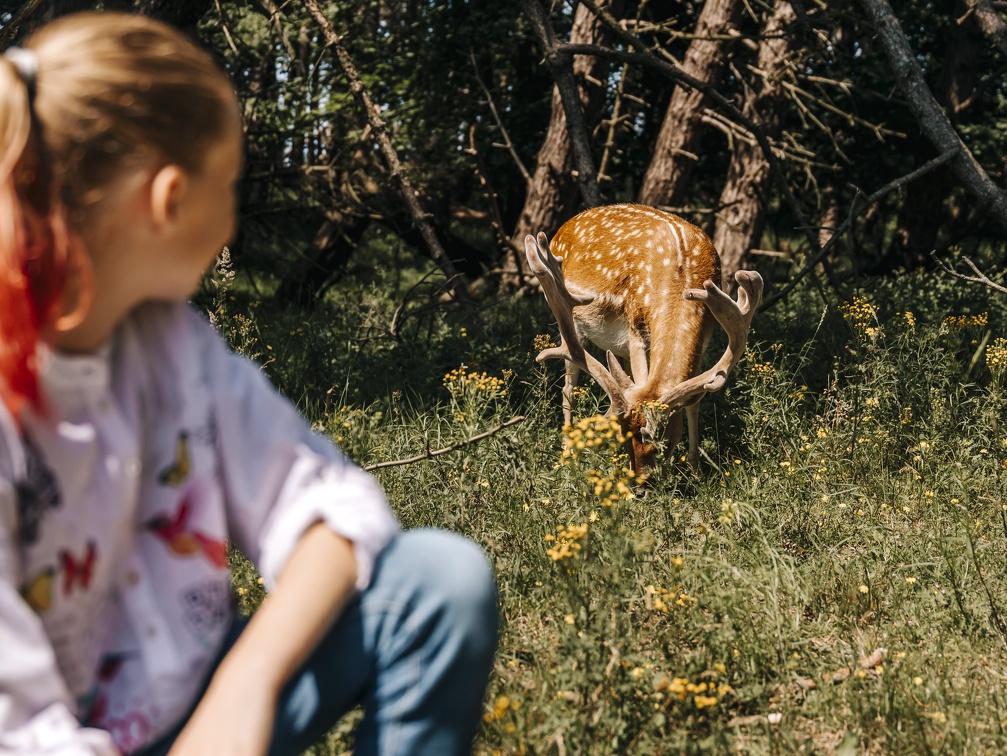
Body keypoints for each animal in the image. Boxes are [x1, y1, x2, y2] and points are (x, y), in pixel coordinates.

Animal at [527, 201, 761, 473]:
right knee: (568, 388)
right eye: (626, 436)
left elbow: (694, 402)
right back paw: (566, 456)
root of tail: (562, 227)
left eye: (662, 439)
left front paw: (695, 469)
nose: (640, 481)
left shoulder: (705, 335)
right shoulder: (634, 325)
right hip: (572, 325)